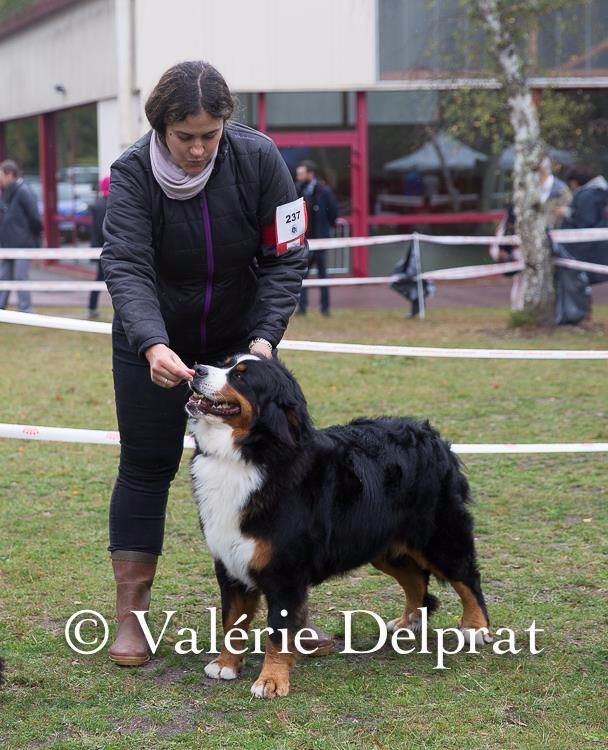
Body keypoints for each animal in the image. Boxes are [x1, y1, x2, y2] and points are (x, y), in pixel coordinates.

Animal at [188, 354, 492, 700]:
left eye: (240, 377)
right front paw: (226, 664)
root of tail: (433, 436)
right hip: (382, 545)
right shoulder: (229, 561)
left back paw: (476, 627)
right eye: (224, 363)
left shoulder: (285, 571)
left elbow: (278, 633)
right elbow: (232, 622)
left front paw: (271, 680)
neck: (248, 455)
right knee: (417, 581)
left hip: (439, 536)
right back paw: (408, 622)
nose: (196, 369)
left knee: (467, 577)